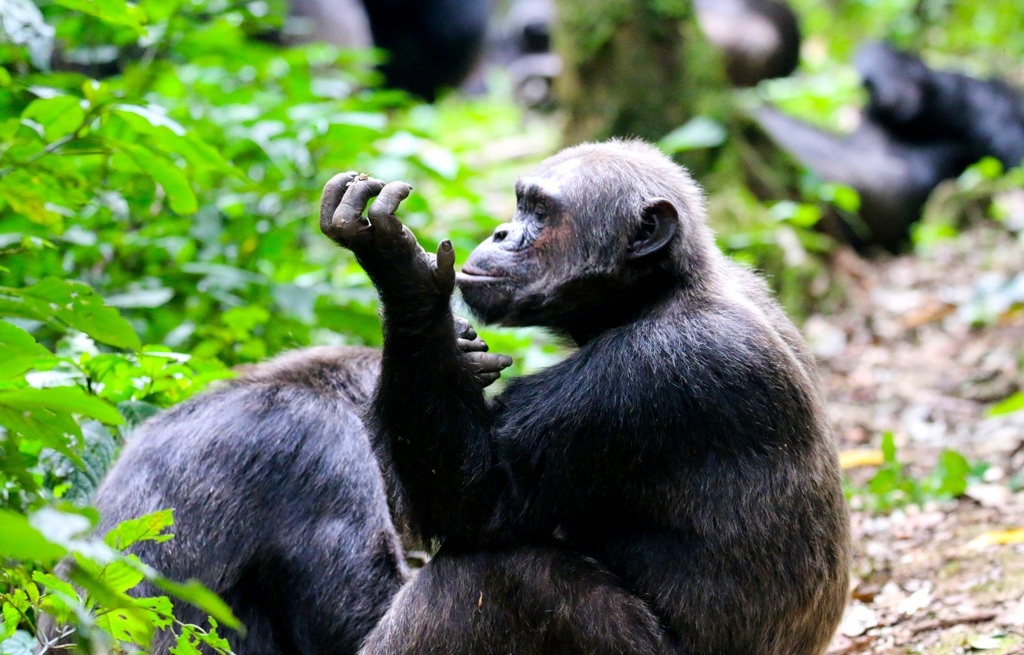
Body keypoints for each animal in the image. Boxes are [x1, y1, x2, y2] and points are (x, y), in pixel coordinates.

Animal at [317, 143, 847, 655]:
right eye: (520, 204)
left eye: (540, 211)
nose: (501, 232)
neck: (651, 297)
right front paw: (460, 349)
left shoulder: (647, 374)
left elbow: (482, 501)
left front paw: (400, 265)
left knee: (494, 573)